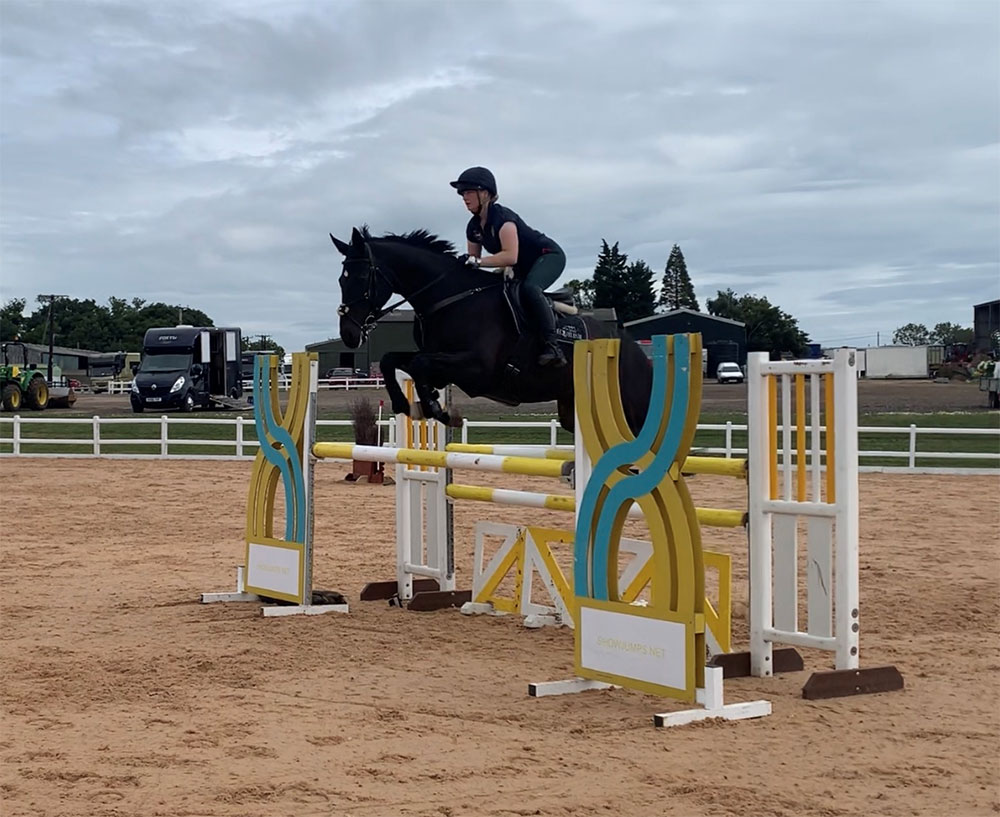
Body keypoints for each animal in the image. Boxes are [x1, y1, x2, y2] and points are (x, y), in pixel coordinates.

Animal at [332, 225, 652, 434]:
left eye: (359, 277)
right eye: (340, 279)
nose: (349, 333)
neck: (452, 297)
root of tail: (636, 351)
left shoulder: (478, 369)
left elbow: (420, 364)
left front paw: (436, 408)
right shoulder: (441, 360)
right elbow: (393, 360)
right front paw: (408, 403)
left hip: (631, 411)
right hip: (571, 411)